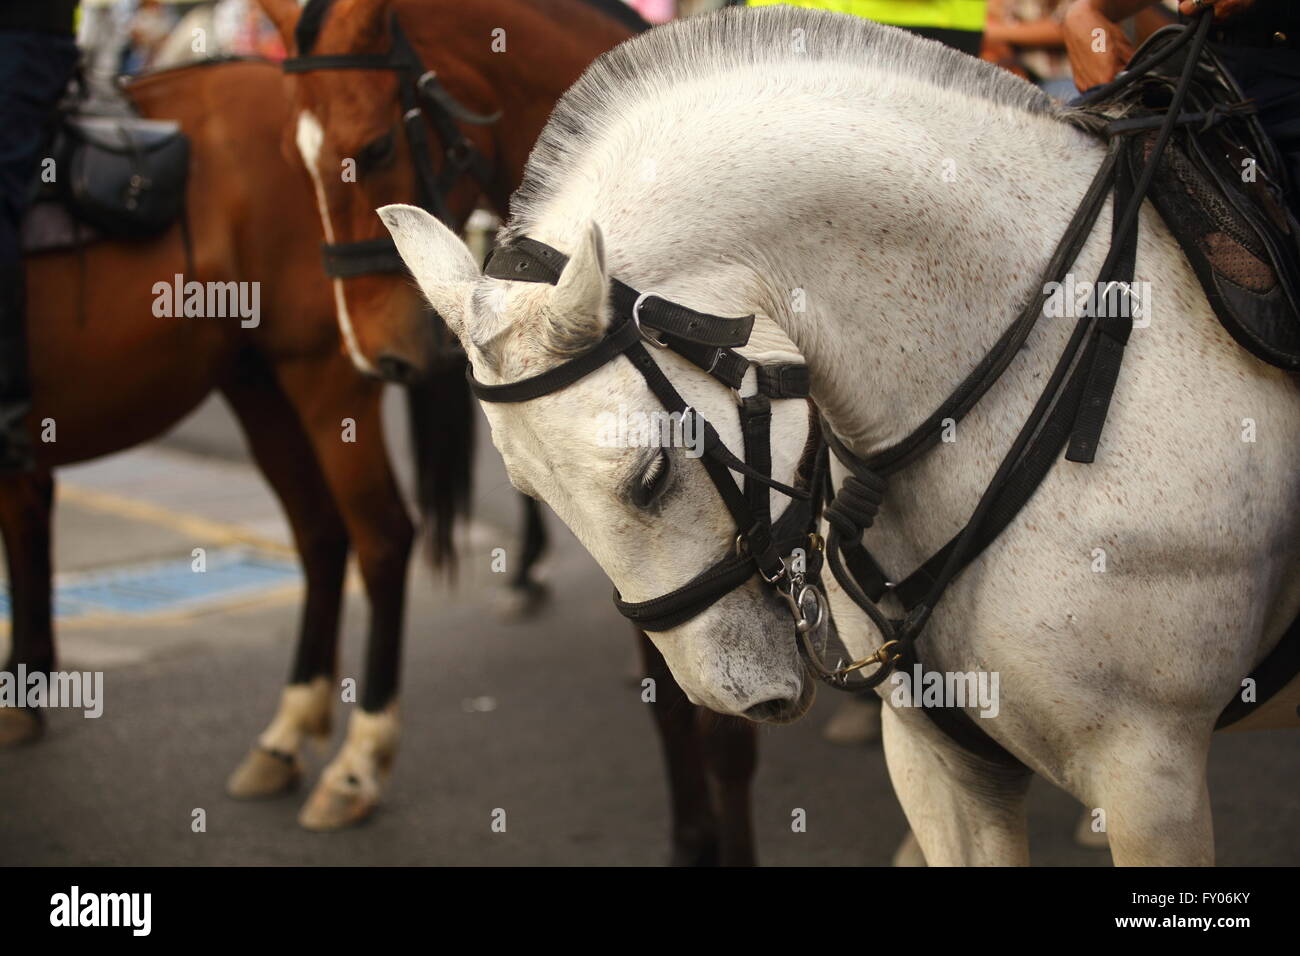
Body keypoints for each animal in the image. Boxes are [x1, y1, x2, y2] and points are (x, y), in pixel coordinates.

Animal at [0, 59, 467, 832]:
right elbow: (26, 532)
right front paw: (24, 692)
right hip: (258, 384)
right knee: (321, 535)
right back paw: (287, 730)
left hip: (323, 380)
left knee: (381, 537)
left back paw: (359, 759)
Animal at [253, 0, 759, 858]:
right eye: (299, 161)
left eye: (376, 147)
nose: (370, 352)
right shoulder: (652, 543)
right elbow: (671, 695)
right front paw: (691, 838)